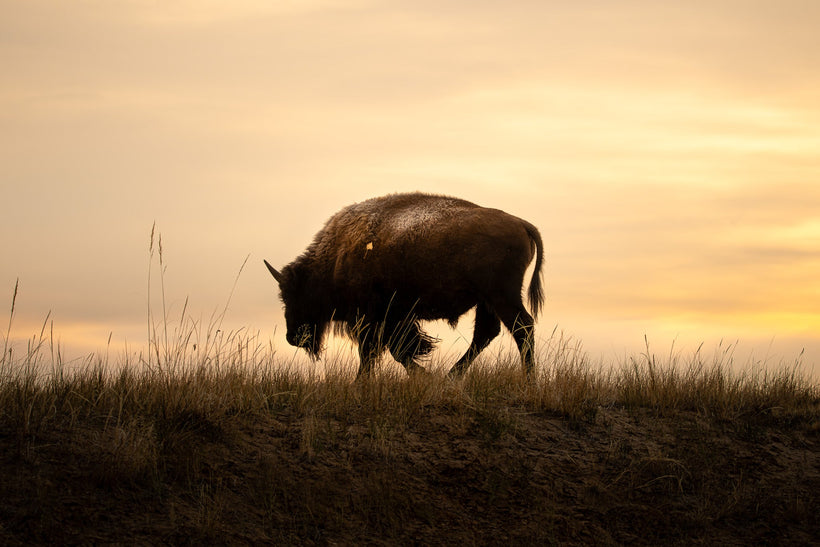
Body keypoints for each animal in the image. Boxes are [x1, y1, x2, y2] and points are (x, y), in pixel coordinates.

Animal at [264, 192, 544, 377]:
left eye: (296, 295)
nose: (293, 337)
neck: (336, 255)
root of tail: (521, 223)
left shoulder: (372, 318)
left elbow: (377, 352)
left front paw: (363, 383)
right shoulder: (392, 317)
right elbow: (395, 350)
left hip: (502, 297)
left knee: (522, 328)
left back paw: (527, 380)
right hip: (487, 301)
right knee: (486, 334)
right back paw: (451, 378)